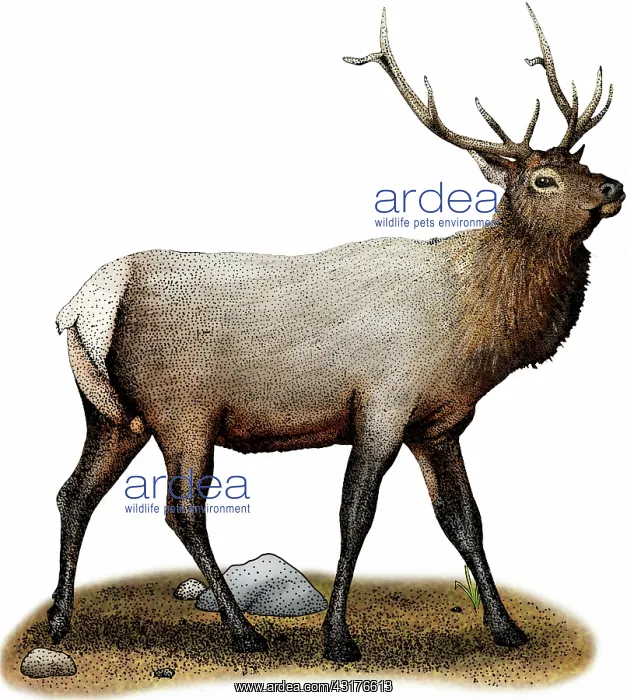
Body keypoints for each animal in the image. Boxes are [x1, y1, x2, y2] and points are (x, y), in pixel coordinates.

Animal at [48, 4, 622, 663]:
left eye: (582, 164)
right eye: (542, 180)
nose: (613, 187)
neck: (472, 338)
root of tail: (83, 305)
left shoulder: (439, 425)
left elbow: (466, 521)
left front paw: (505, 628)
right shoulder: (382, 406)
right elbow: (356, 514)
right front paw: (339, 638)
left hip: (114, 416)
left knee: (74, 494)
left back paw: (61, 620)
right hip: (182, 412)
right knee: (182, 513)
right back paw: (243, 630)